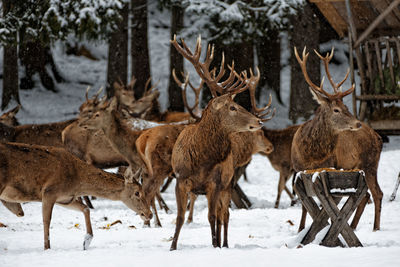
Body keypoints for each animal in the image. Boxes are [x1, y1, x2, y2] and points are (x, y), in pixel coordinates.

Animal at [0, 142, 152, 251]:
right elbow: (46, 220)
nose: (149, 214)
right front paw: (47, 248)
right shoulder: (49, 191)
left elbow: (86, 209)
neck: (76, 182)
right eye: (137, 193)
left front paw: (86, 242)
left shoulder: (65, 199)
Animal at [169, 35, 268, 251]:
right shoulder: (180, 180)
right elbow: (180, 217)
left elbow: (212, 217)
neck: (200, 160)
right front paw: (172, 247)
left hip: (228, 185)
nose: (258, 121)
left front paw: (215, 245)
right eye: (232, 107)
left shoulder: (214, 183)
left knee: (225, 215)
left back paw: (224, 243)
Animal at [290, 47, 384, 232]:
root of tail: (378, 137)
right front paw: (300, 228)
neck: (311, 154)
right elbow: (305, 204)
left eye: (346, 106)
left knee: (377, 193)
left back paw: (375, 228)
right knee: (366, 195)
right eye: (336, 110)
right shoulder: (299, 170)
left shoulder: (330, 166)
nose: (357, 123)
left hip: (370, 164)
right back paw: (353, 226)